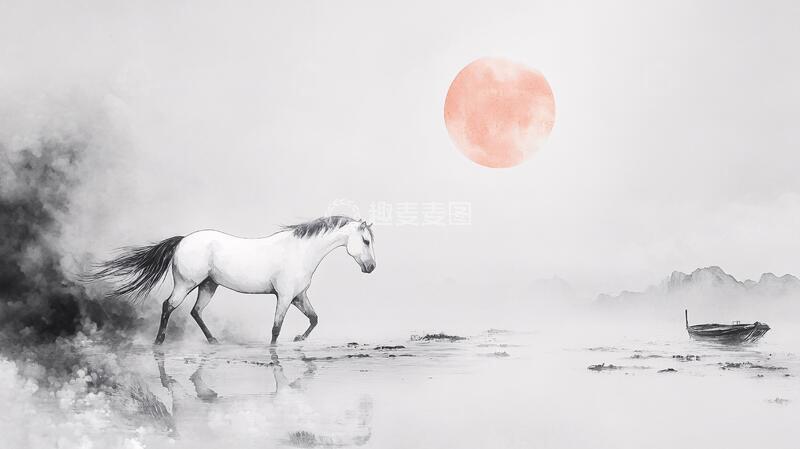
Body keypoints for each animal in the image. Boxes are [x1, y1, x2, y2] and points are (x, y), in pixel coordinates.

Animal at [88, 216, 376, 344]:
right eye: (365, 241)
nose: (371, 267)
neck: (300, 251)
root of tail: (183, 240)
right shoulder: (284, 297)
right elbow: (276, 328)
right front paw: (275, 349)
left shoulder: (298, 296)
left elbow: (314, 318)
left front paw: (299, 339)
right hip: (185, 284)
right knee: (168, 306)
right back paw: (159, 343)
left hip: (208, 286)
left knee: (195, 311)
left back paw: (213, 341)